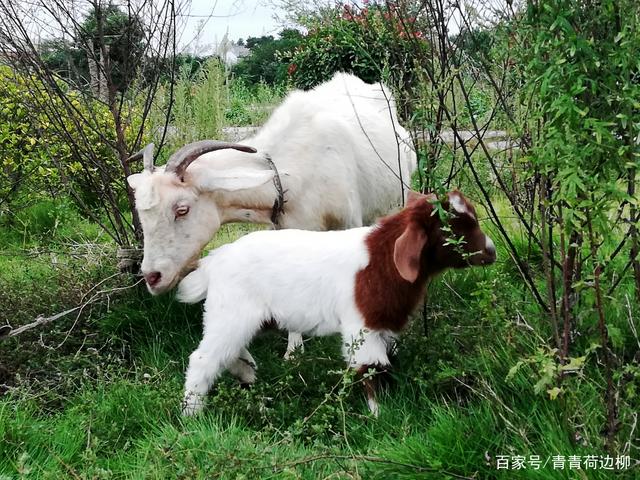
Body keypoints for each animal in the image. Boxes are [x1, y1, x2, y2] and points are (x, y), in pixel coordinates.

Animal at [128, 71, 418, 356]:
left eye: (182, 209)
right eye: (141, 215)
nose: (152, 277)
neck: (290, 172)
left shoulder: (349, 222)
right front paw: (294, 350)